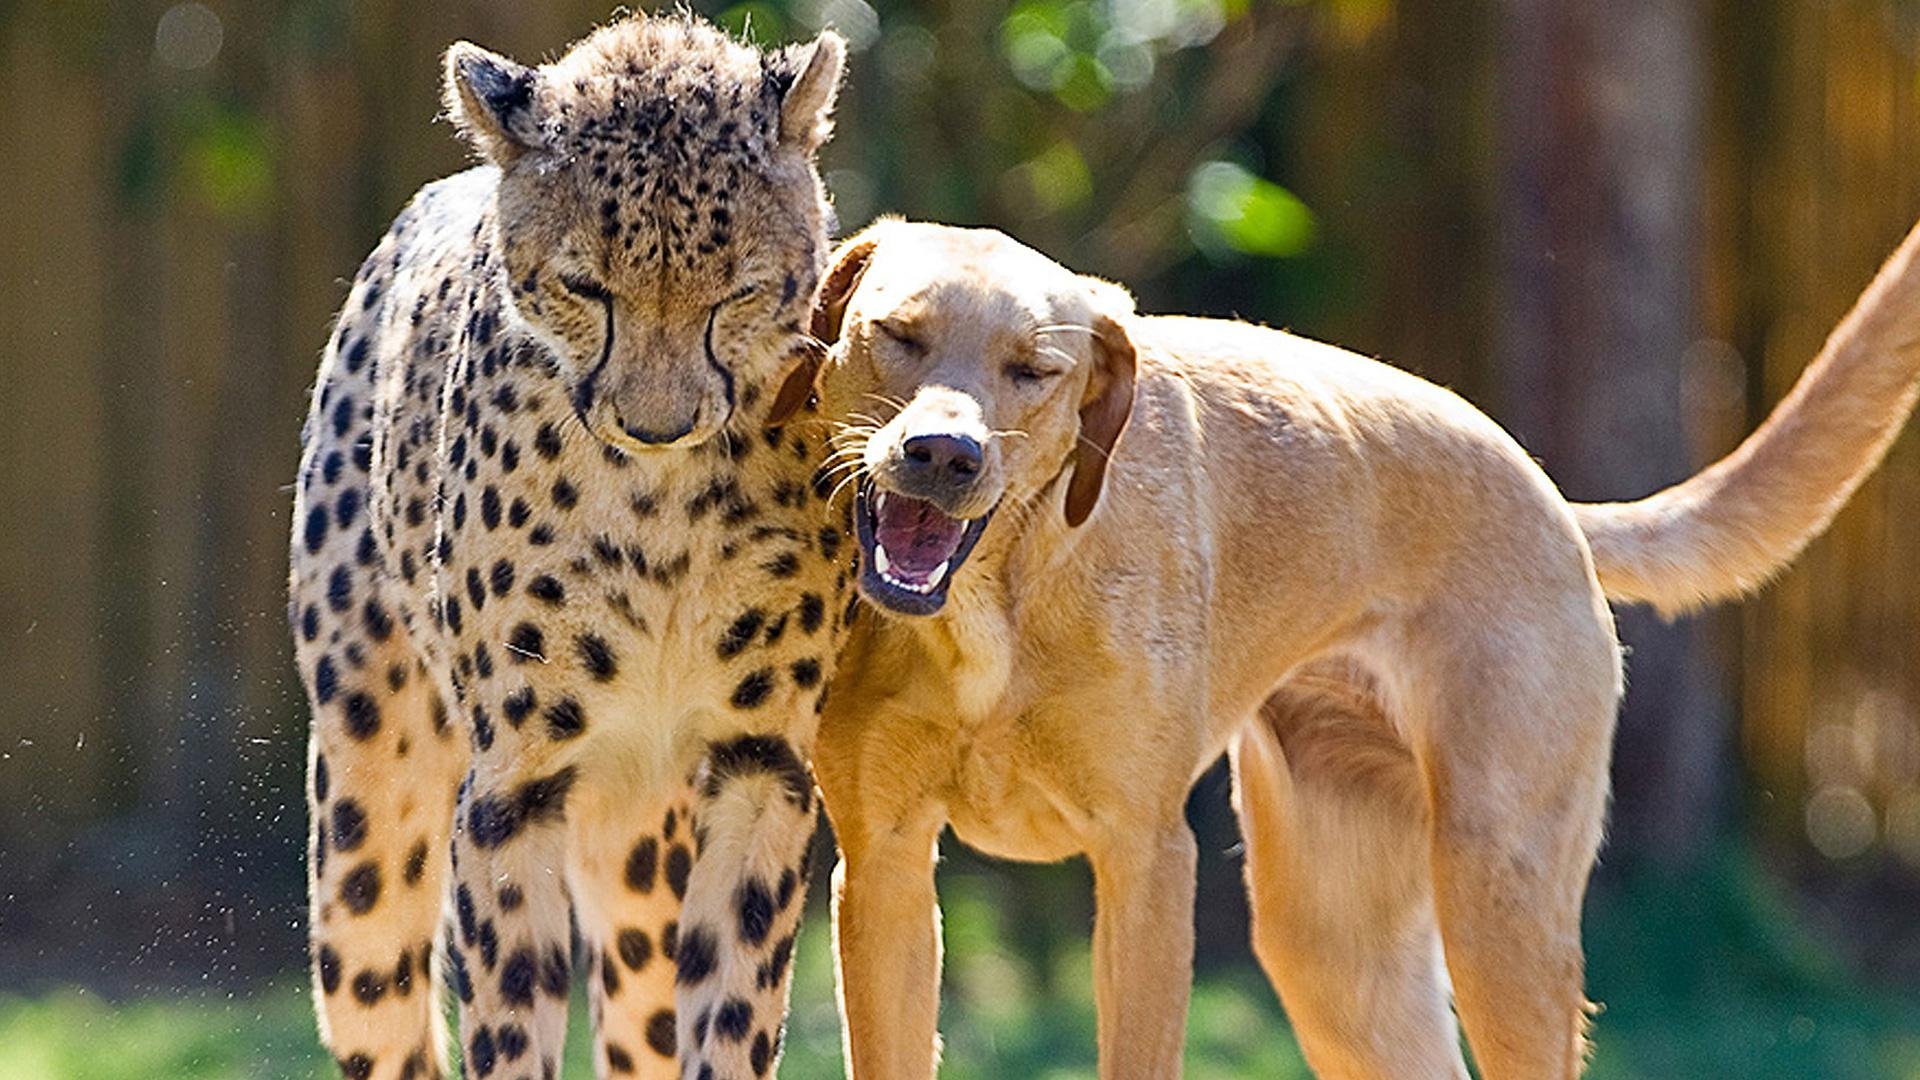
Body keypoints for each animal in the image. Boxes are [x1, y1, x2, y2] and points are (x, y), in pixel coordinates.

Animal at [288, 14, 855, 1079]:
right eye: (585, 288)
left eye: (739, 293)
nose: (658, 423)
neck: (660, 504)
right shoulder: (514, 779)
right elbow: (510, 1010)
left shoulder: (760, 762)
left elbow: (733, 1001)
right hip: (365, 830)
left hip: (638, 856)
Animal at [798, 218, 1920, 1079]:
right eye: (898, 334)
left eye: (1035, 370)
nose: (943, 455)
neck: (991, 612)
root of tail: (1553, 502)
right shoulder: (885, 867)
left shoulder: (1144, 863)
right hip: (1339, 956)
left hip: (1499, 903)